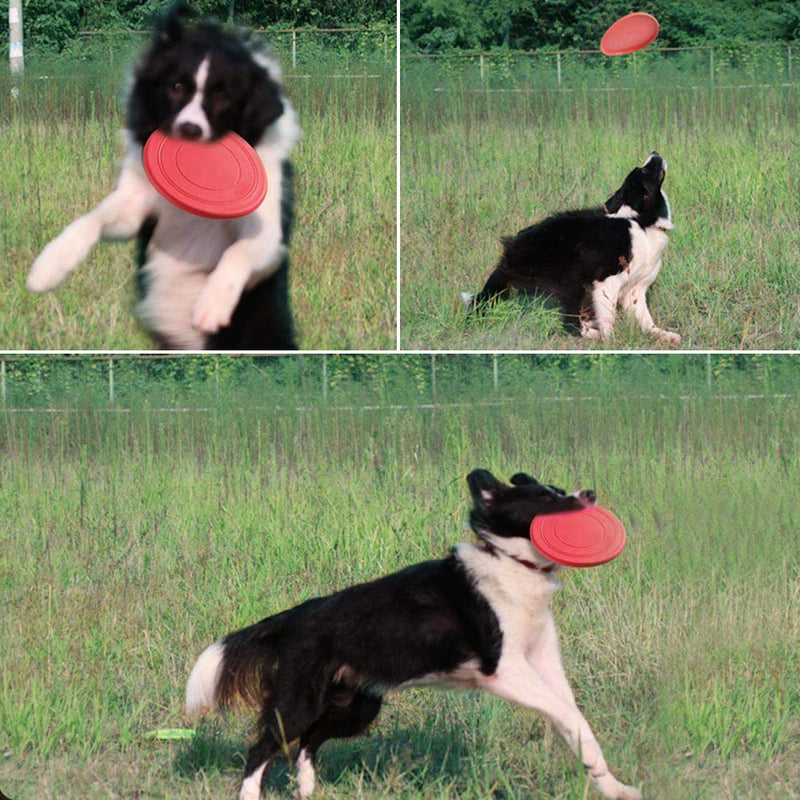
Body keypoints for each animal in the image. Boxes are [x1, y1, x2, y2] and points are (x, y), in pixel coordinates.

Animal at [25, 3, 300, 348]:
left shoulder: (269, 234)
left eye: (222, 97)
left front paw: (211, 304)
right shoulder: (135, 203)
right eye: (177, 87)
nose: (190, 130)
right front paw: (48, 265)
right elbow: (92, 219)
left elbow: (239, 250)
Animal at [188, 472, 644, 796]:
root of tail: (297, 615)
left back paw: (306, 789)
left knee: (309, 742)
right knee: (263, 748)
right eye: (547, 499)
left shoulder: (545, 663)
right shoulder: (504, 669)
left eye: (561, 490)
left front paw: (614, 786)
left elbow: (574, 717)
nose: (591, 493)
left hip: (358, 706)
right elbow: (564, 712)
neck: (515, 563)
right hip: (300, 700)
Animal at [462, 152, 680, 346]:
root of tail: (506, 258)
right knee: (569, 322)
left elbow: (645, 319)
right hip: (569, 278)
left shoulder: (636, 288)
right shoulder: (606, 280)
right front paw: (611, 340)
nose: (655, 153)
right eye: (644, 170)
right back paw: (593, 333)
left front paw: (663, 335)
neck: (641, 222)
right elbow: (607, 315)